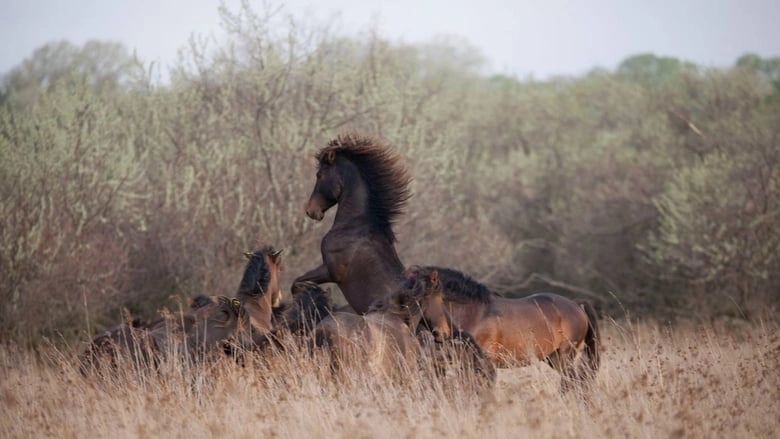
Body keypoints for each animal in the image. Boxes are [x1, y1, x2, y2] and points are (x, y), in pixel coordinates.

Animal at [406, 264, 600, 392]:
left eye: (420, 295)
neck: (476, 313)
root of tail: (576, 305)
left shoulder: (482, 365)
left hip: (565, 356)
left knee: (572, 382)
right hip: (553, 358)